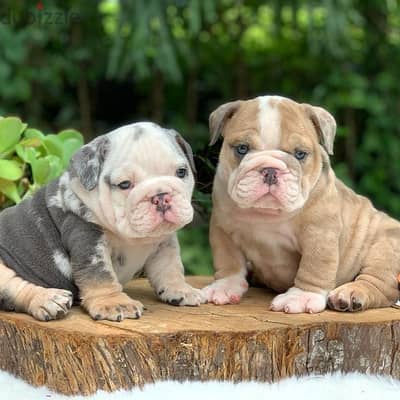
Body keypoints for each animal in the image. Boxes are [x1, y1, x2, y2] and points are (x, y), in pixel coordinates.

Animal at [0, 122, 205, 322]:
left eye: (181, 172)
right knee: (14, 288)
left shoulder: (165, 244)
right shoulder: (90, 241)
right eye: (124, 184)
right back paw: (48, 299)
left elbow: (170, 267)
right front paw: (114, 303)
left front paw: (181, 289)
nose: (161, 195)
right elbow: (100, 275)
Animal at [203, 96, 400, 312]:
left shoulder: (319, 234)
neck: (267, 214)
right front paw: (224, 287)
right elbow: (228, 261)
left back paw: (349, 295)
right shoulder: (223, 228)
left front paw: (301, 297)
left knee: (378, 284)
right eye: (242, 149)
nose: (270, 170)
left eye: (300, 154)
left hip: (385, 248)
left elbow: (314, 266)